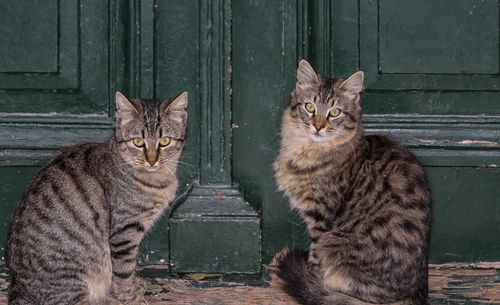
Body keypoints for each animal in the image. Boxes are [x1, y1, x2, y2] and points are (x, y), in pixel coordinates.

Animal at [7, 91, 188, 304]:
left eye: (165, 141)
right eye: (138, 142)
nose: (152, 160)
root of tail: (18, 285)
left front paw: (135, 286)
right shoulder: (124, 232)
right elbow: (124, 271)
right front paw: (130, 297)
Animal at [276, 60, 432, 304]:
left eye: (335, 112)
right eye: (310, 107)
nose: (318, 126)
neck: (308, 150)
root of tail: (416, 295)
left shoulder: (321, 218)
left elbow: (314, 258)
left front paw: (310, 278)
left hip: (336, 248)